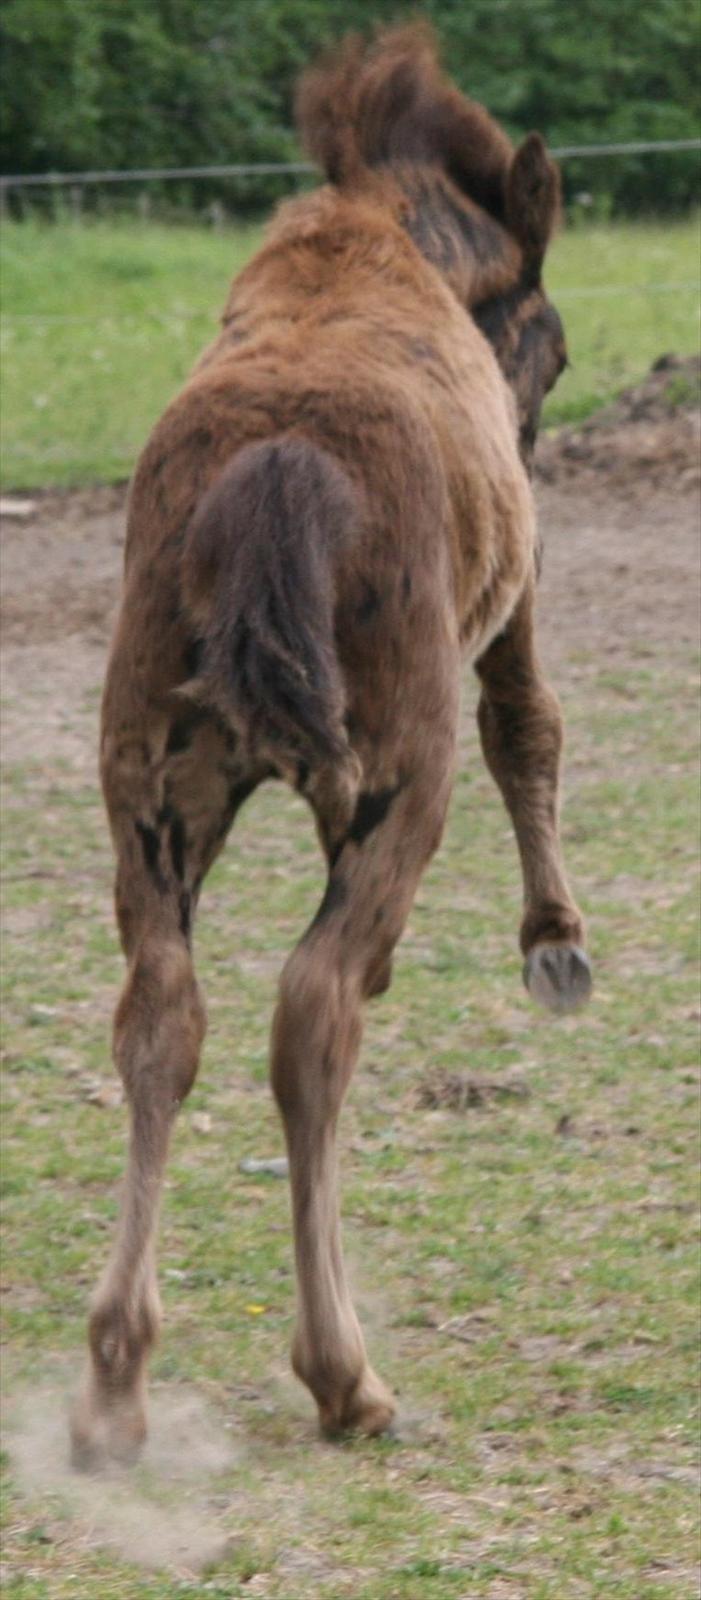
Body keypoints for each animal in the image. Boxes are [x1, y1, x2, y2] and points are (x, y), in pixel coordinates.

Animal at [72, 28, 592, 1472]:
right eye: (553, 347)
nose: (533, 423)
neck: (378, 243)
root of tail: (280, 466)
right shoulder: (508, 597)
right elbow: (526, 720)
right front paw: (555, 943)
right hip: (395, 785)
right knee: (309, 1015)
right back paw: (343, 1374)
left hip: (156, 794)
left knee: (163, 1016)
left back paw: (116, 1380)